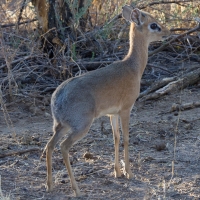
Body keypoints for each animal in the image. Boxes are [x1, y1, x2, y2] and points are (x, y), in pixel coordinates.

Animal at [43, 4, 170, 197]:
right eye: (153, 24)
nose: (167, 32)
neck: (133, 68)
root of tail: (57, 98)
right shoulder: (126, 110)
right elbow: (126, 138)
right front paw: (129, 173)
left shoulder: (112, 114)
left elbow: (115, 138)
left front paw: (117, 172)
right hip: (81, 126)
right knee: (63, 147)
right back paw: (76, 189)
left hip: (60, 126)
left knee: (49, 146)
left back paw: (49, 185)